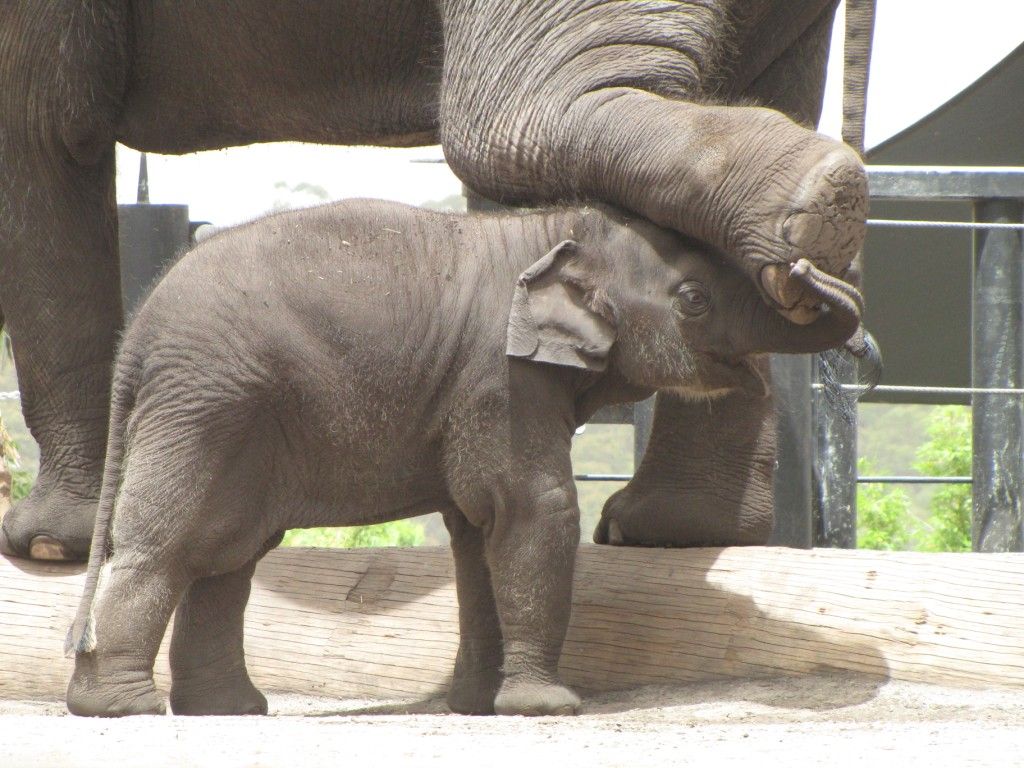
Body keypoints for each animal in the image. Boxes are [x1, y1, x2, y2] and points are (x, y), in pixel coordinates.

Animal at [0, 0, 874, 560]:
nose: (862, 349)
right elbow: (48, 129)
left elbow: (42, 128)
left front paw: (46, 546)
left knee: (520, 120)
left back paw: (820, 204)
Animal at [64, 198, 862, 717]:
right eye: (693, 299)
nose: (797, 260)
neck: (552, 231)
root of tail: (135, 334)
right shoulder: (499, 378)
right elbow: (533, 509)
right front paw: (546, 707)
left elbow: (480, 535)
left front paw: (480, 707)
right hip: (208, 402)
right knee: (175, 543)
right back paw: (124, 711)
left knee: (230, 552)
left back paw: (226, 712)